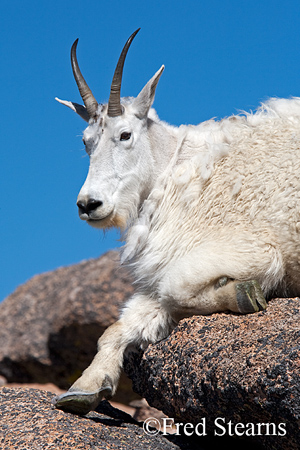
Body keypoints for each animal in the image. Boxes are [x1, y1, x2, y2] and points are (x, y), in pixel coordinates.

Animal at [55, 29, 300, 414]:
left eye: (125, 134)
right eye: (85, 142)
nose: (89, 204)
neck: (177, 168)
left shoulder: (258, 249)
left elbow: (175, 288)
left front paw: (242, 293)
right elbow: (123, 323)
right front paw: (85, 387)